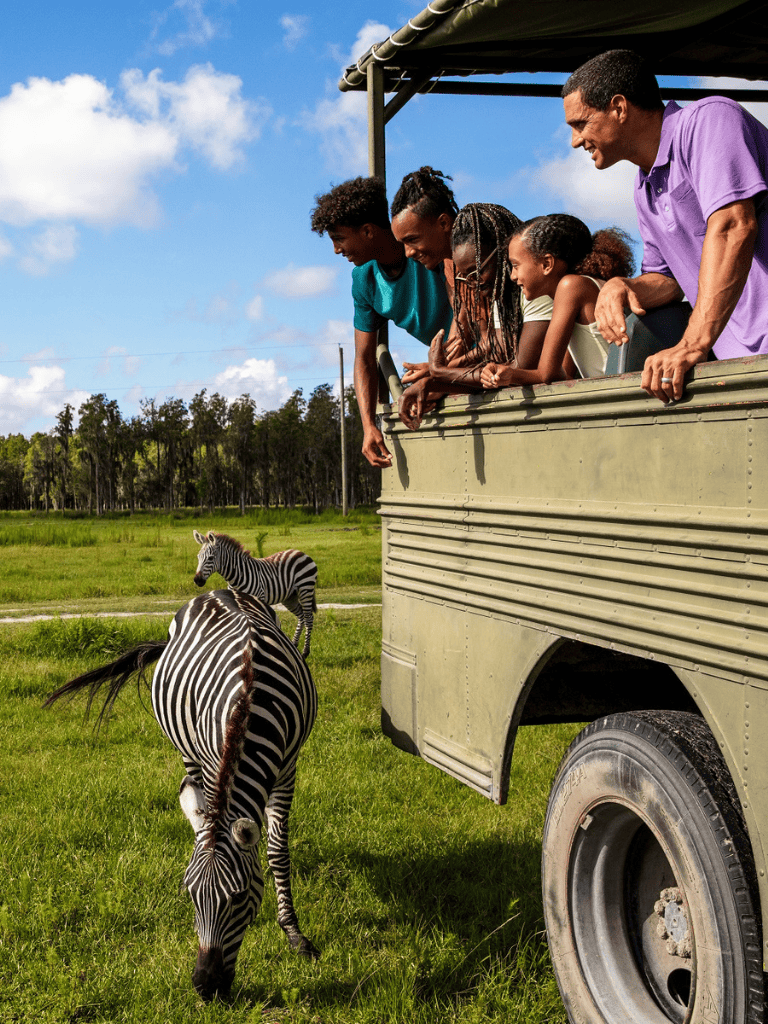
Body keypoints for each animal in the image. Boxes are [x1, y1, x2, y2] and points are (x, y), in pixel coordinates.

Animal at [45, 588, 318, 1001]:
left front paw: (294, 933)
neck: (250, 702)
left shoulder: (288, 769)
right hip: (187, 749)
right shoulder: (211, 759)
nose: (205, 987)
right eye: (189, 895)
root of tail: (218, 590)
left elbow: (276, 852)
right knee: (197, 802)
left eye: (240, 897)